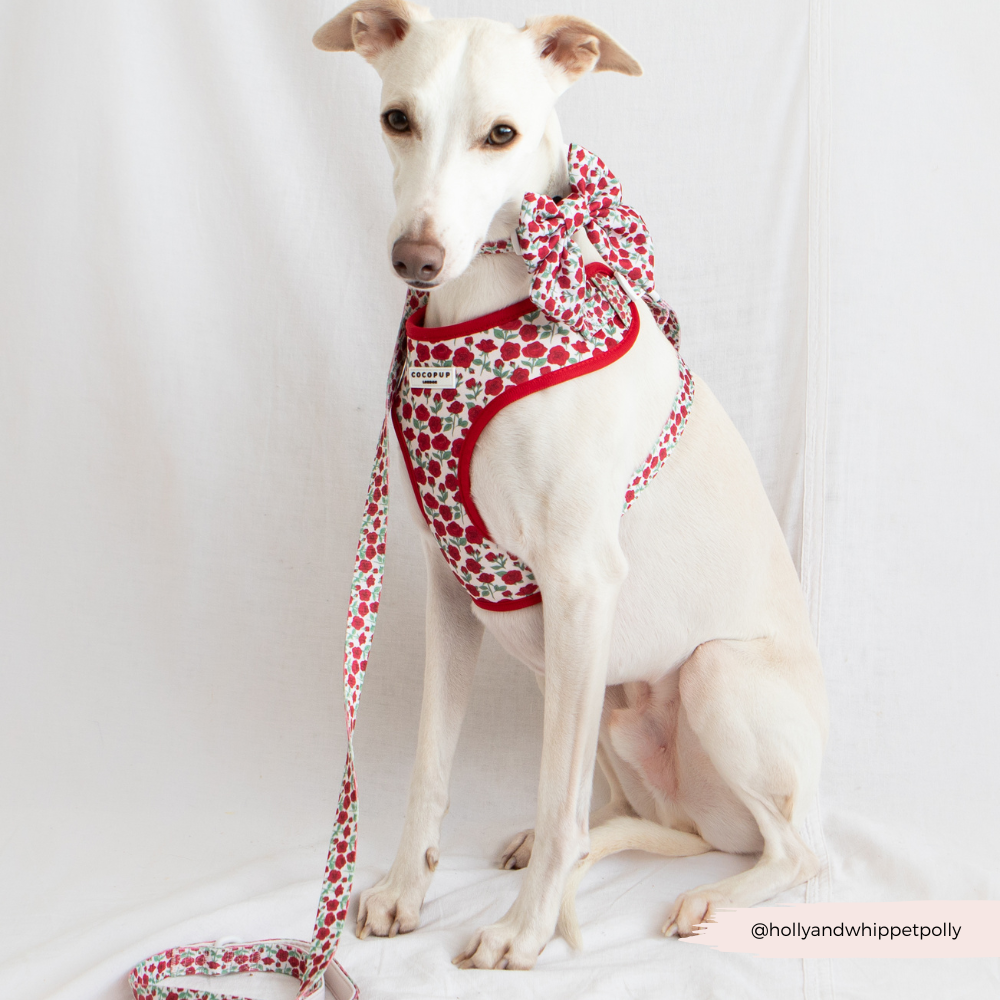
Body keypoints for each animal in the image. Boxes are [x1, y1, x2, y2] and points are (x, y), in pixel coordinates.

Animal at [314, 0, 828, 968]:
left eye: (502, 134)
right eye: (397, 118)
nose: (416, 259)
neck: (483, 305)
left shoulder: (583, 584)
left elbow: (561, 807)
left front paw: (523, 934)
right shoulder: (450, 588)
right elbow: (433, 767)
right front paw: (405, 893)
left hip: (706, 675)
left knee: (790, 850)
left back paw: (708, 899)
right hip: (604, 700)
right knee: (635, 819)